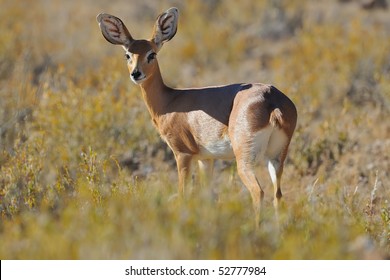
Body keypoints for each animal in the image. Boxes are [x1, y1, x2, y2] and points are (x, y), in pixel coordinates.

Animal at [96, 7, 298, 225]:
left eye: (152, 54)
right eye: (128, 55)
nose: (136, 73)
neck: (169, 101)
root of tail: (273, 100)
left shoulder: (182, 153)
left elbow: (183, 194)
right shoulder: (206, 158)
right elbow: (207, 196)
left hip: (244, 159)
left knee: (258, 192)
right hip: (276, 157)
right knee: (278, 195)